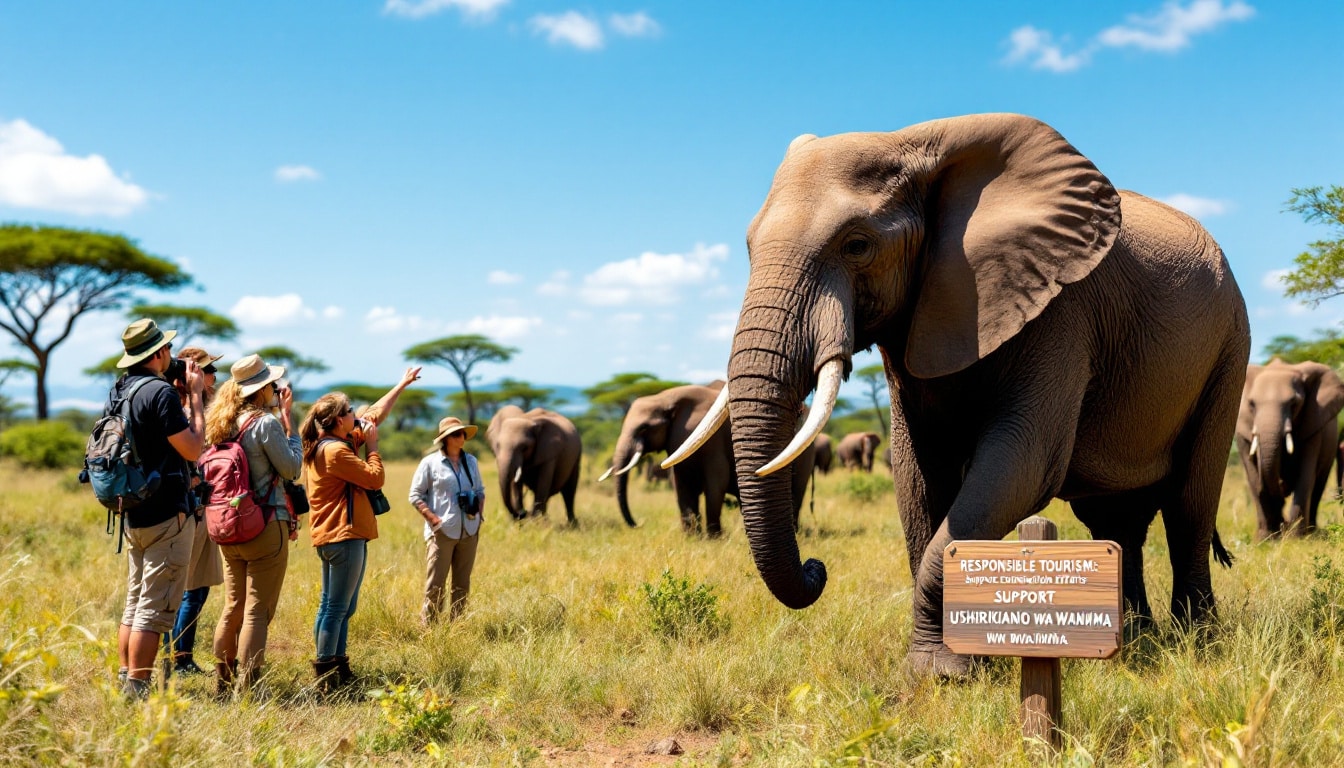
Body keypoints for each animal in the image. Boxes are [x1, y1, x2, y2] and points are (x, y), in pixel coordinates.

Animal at [672, 112, 1247, 677]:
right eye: (749, 247)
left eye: (857, 246)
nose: (817, 568)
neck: (913, 144)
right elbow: (917, 473)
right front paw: (948, 663)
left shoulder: (1059, 309)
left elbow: (1024, 463)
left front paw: (940, 674)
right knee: (1114, 520)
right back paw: (1132, 641)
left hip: (1230, 347)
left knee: (1190, 504)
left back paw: (1196, 641)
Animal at [1236, 360, 1344, 540]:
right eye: (1251, 404)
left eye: (1294, 403)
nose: (1281, 487)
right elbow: (1253, 476)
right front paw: (1265, 540)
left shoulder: (1313, 423)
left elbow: (1305, 476)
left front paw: (1296, 538)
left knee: (1318, 486)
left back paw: (1311, 532)